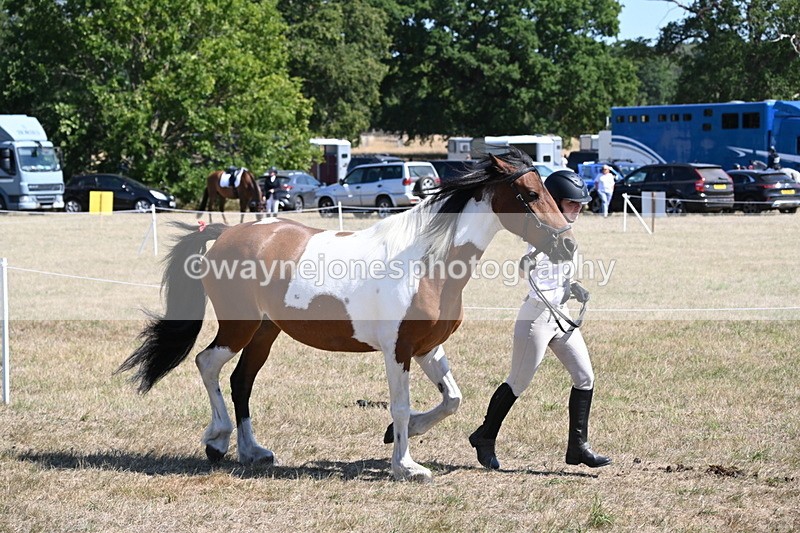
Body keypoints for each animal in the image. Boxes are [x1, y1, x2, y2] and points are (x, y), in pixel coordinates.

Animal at [117, 149, 577, 482]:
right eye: (530, 195)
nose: (568, 245)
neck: (427, 262)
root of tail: (226, 232)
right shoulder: (398, 351)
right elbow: (401, 405)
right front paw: (406, 466)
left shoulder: (427, 348)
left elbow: (451, 399)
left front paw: (402, 438)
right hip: (239, 326)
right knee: (207, 363)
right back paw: (217, 441)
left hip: (265, 332)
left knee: (240, 380)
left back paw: (252, 451)